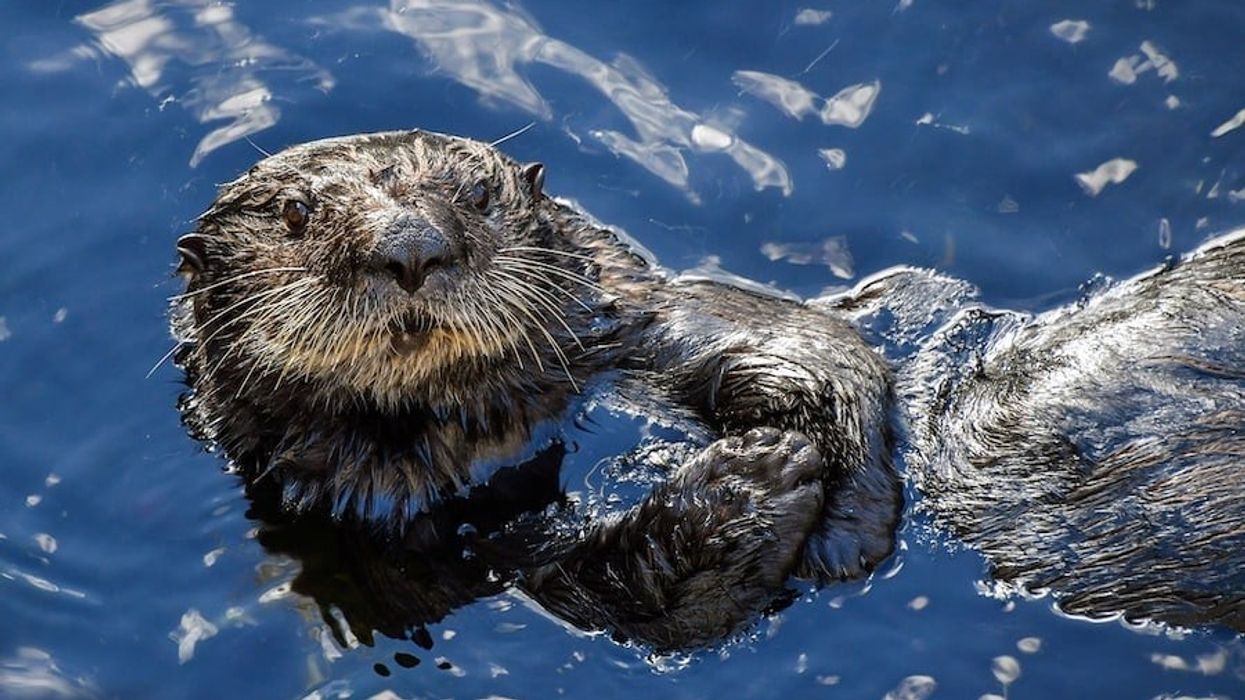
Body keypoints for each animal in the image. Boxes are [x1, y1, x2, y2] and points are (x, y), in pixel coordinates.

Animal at [170, 129, 900, 649]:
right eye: (294, 212)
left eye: (478, 197)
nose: (411, 246)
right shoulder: (366, 524)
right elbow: (574, 589)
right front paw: (745, 487)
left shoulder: (623, 314)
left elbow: (809, 344)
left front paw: (841, 514)